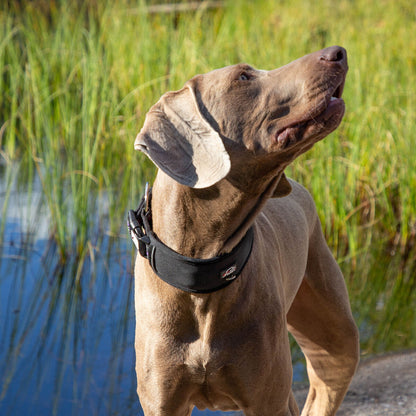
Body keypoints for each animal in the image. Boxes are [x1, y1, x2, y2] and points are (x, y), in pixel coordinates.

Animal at [132, 46, 360, 416]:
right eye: (243, 77)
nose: (337, 53)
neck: (203, 276)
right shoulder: (161, 402)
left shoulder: (266, 399)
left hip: (333, 332)